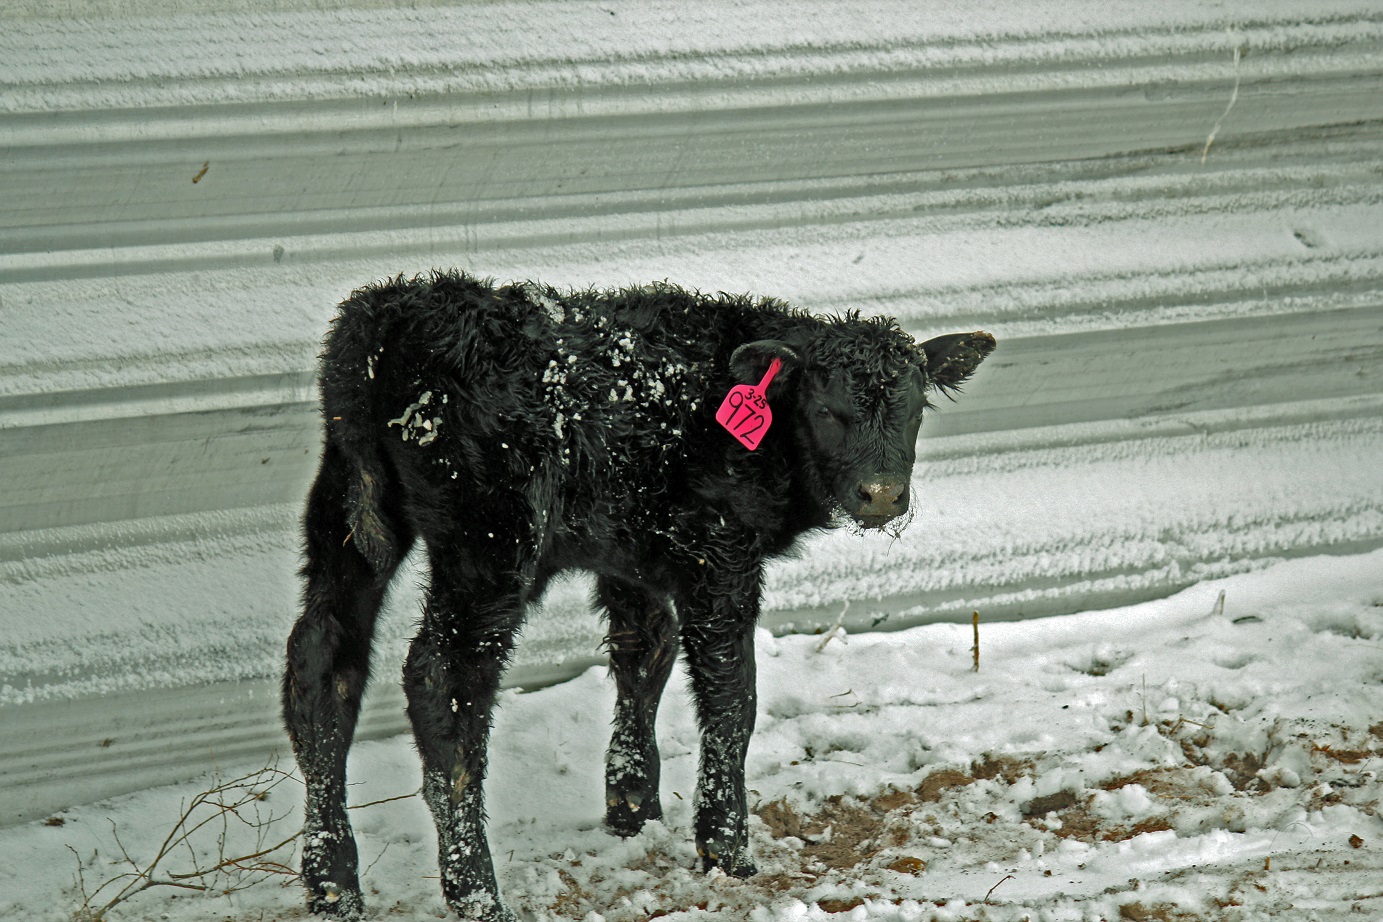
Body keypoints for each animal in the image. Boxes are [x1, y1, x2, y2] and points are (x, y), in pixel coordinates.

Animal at [282, 270, 995, 921]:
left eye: (915, 409)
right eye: (825, 410)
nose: (882, 494)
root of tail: (398, 308)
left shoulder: (629, 559)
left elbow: (644, 654)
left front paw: (632, 810)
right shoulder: (721, 557)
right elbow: (732, 696)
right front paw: (725, 847)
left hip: (344, 525)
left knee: (323, 663)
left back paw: (332, 882)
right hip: (487, 550)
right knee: (443, 682)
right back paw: (475, 891)